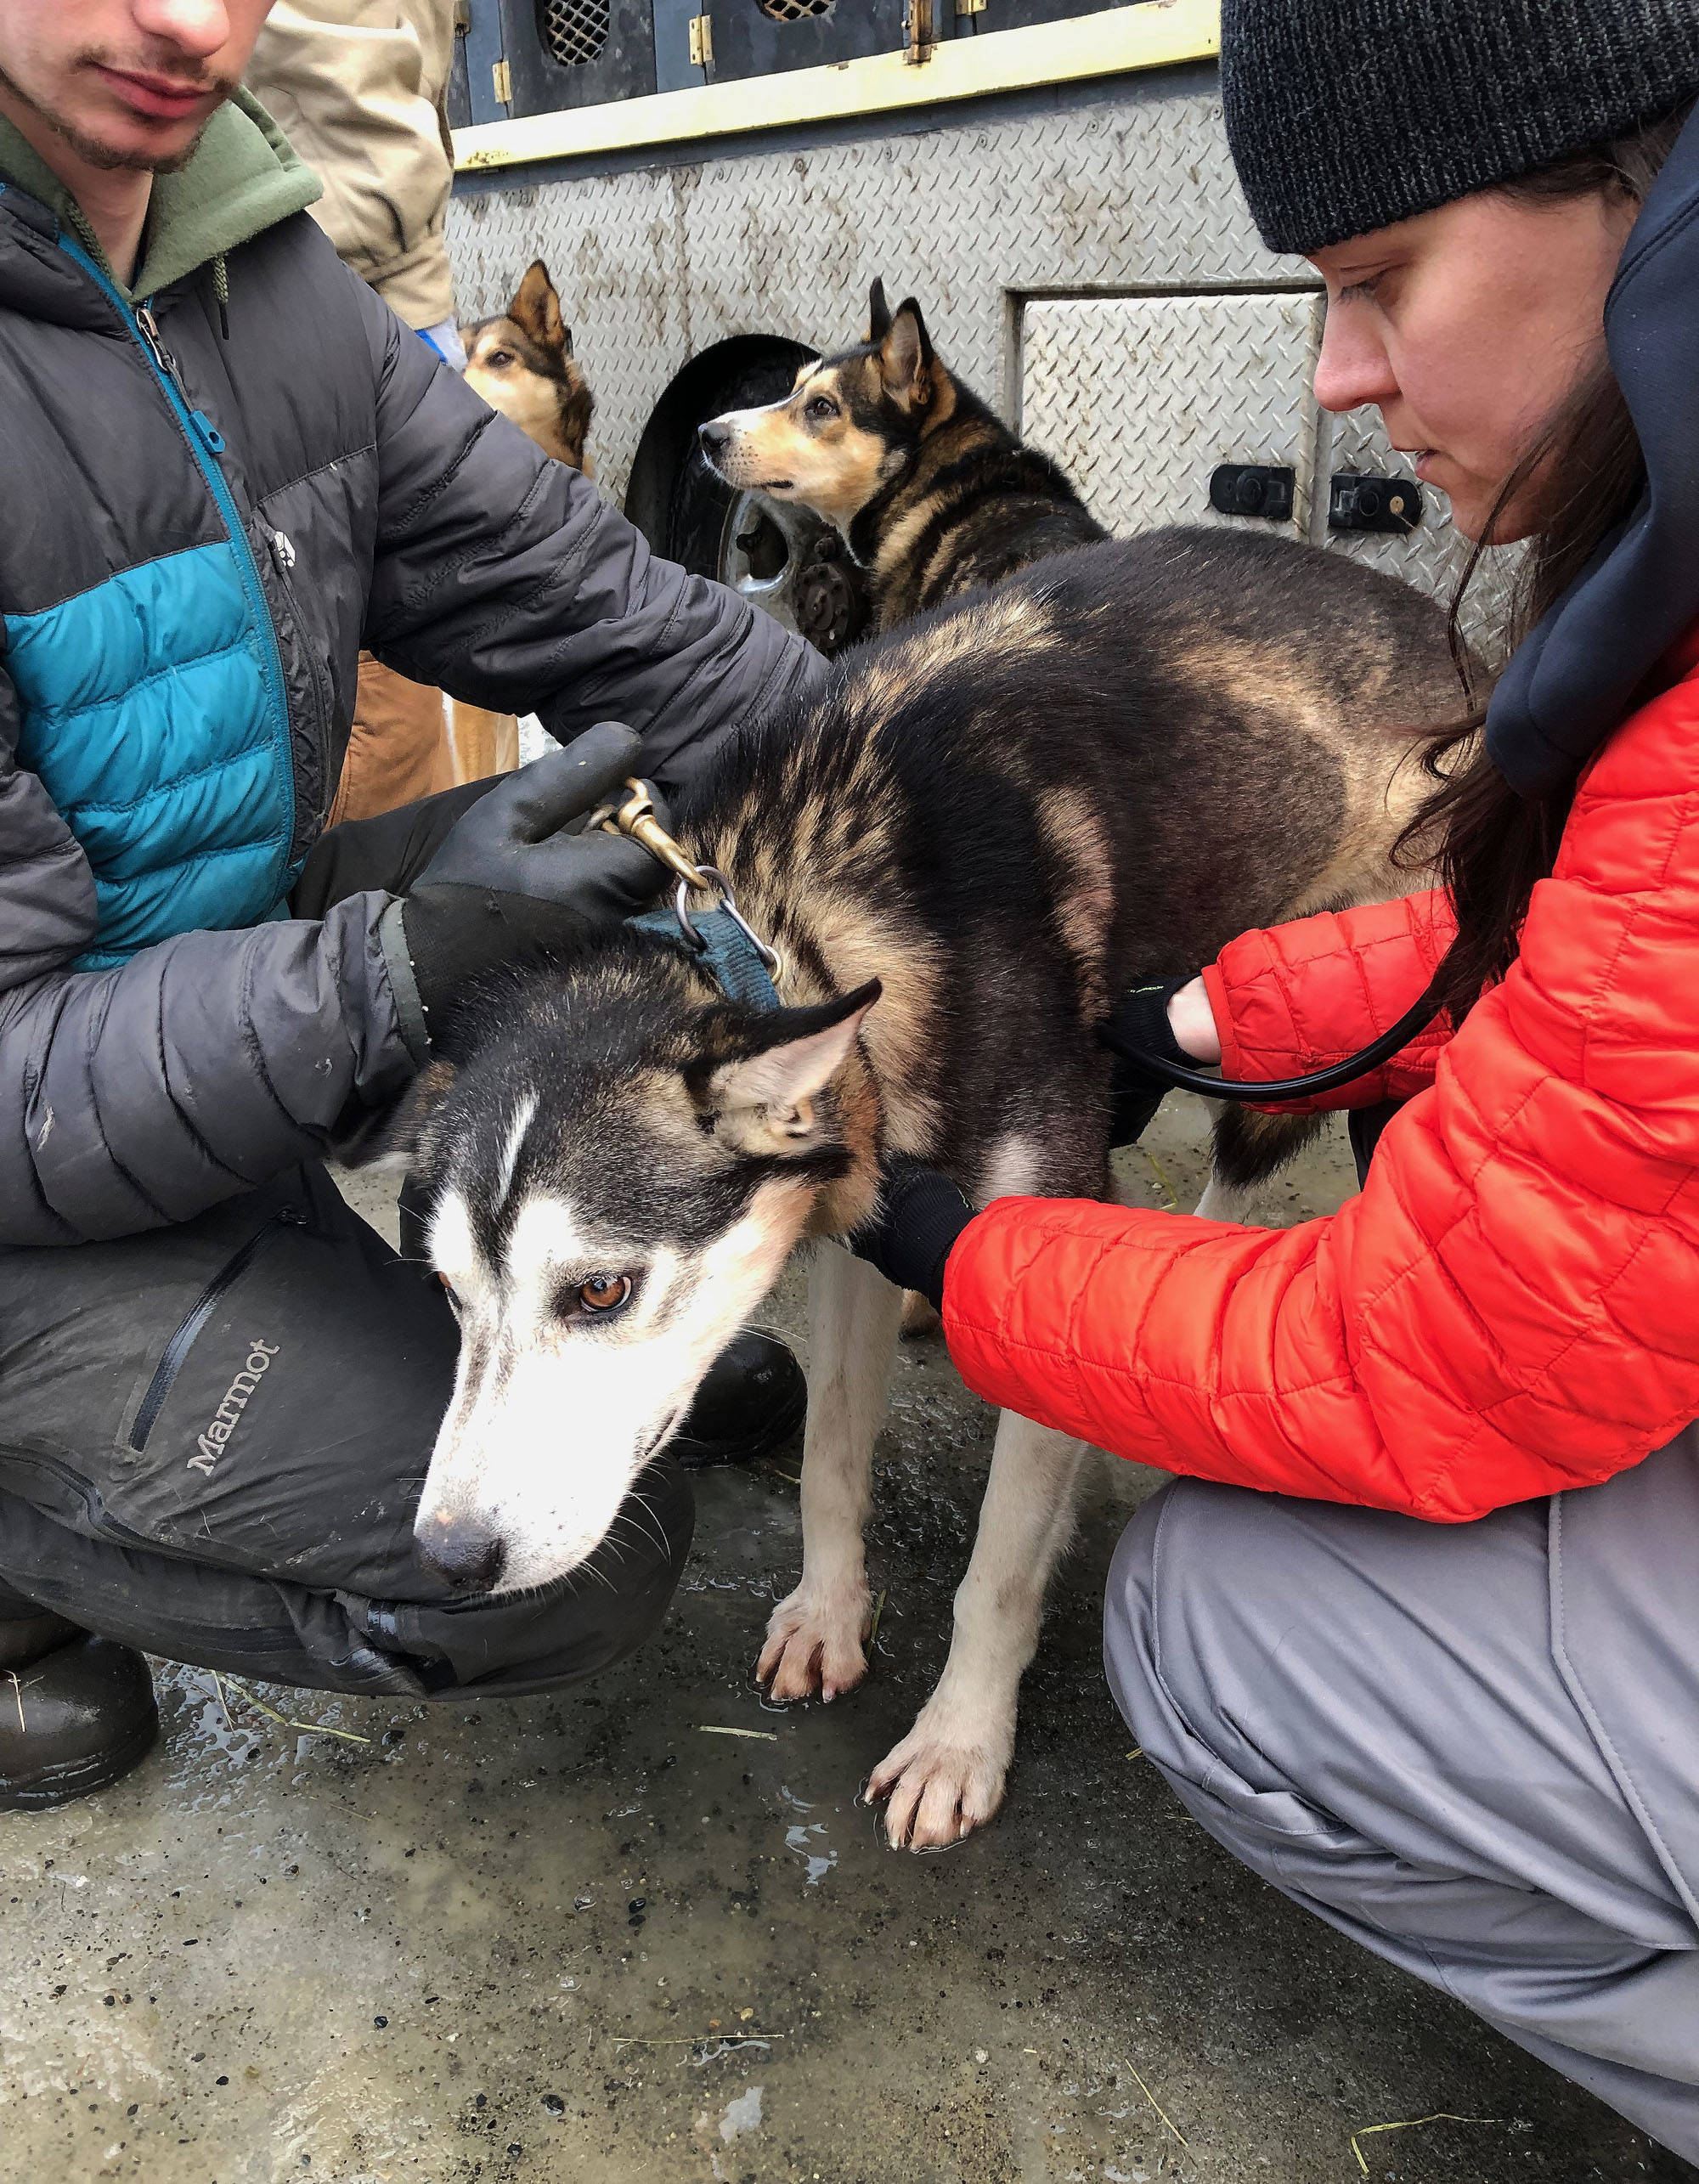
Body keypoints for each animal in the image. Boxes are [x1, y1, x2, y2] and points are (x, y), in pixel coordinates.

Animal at [380, 528, 1441, 1843]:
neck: (788, 928)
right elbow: (834, 1450)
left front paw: (959, 1736)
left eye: (600, 1291)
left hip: (1315, 1039)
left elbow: (999, 1567)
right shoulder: (853, 1224)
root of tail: (1438, 628)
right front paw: (830, 1612)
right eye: (451, 1294)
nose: (448, 1558)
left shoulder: (1042, 1235)